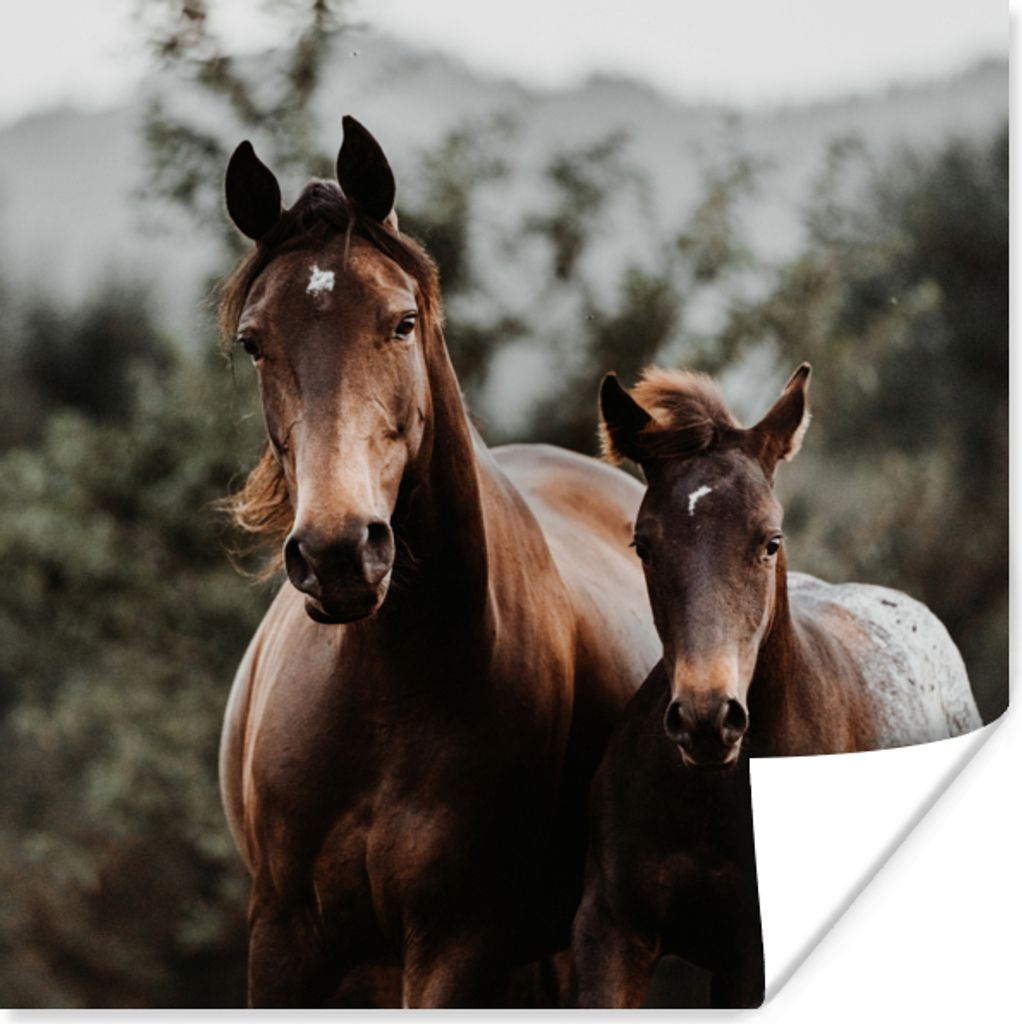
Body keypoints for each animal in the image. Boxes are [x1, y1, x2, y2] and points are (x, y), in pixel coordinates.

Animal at [215, 116, 660, 1008]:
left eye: (401, 322)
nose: (339, 552)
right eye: (254, 342)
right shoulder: (283, 939)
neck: (387, 687)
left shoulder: (457, 942)